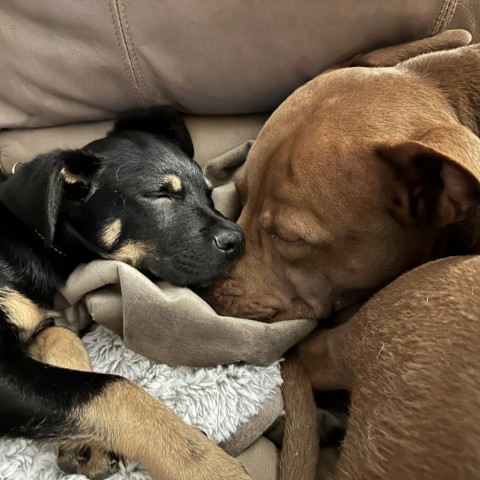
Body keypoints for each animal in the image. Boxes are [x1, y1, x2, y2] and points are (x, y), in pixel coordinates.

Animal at [0, 109, 248, 480]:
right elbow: (115, 390)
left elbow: (64, 338)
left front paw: (87, 445)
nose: (239, 240)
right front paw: (215, 468)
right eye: (161, 194)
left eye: (209, 193)